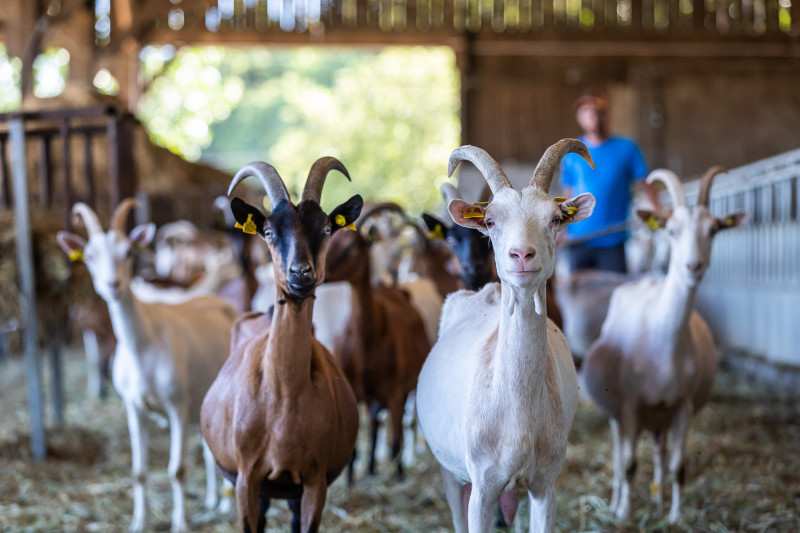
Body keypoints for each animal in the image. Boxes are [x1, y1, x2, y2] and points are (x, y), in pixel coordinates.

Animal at [57, 200, 236, 532]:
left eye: (129, 251)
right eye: (89, 256)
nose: (113, 285)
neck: (144, 344)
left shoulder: (178, 405)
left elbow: (177, 469)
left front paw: (181, 524)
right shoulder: (133, 406)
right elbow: (139, 469)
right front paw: (139, 521)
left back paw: (227, 503)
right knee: (209, 450)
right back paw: (212, 500)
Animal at [200, 159, 362, 532]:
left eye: (327, 229)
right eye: (269, 232)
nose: (300, 273)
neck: (283, 400)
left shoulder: (315, 481)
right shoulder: (247, 478)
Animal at [324, 228, 432, 478]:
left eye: (351, 247)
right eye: (329, 240)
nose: (319, 273)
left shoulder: (395, 393)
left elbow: (395, 442)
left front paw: (399, 476)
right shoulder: (354, 391)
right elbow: (353, 451)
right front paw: (352, 481)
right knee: (374, 427)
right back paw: (371, 468)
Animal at [418, 139, 592, 528]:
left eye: (555, 219)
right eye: (491, 221)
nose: (522, 254)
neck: (517, 418)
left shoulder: (545, 484)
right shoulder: (482, 488)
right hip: (449, 470)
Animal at [584, 168, 748, 520]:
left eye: (714, 230)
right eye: (671, 230)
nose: (693, 267)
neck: (664, 342)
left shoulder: (683, 406)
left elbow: (679, 466)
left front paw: (675, 518)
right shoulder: (630, 406)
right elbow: (629, 464)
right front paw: (624, 515)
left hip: (660, 416)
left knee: (659, 452)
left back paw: (658, 502)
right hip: (619, 416)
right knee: (618, 456)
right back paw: (615, 501)